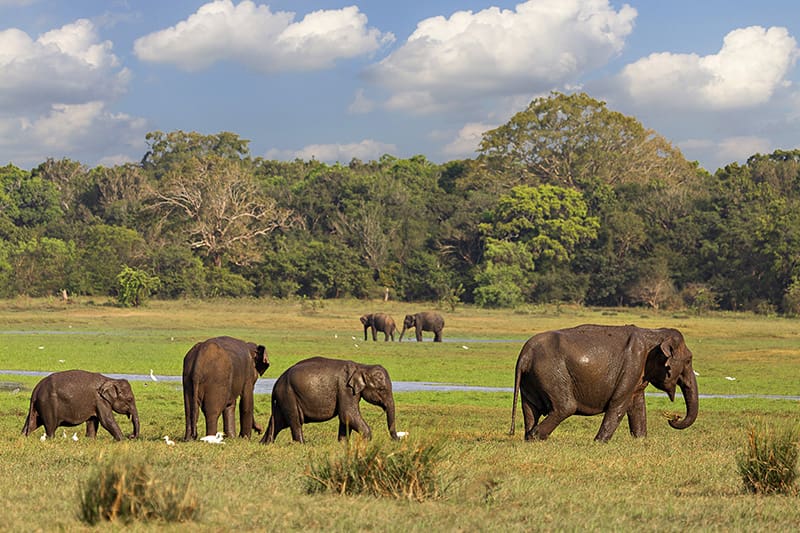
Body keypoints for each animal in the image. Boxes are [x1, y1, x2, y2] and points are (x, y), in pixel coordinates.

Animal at [260, 356, 399, 444]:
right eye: (382, 389)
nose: (397, 439)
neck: (362, 366)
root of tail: (276, 384)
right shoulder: (345, 389)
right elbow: (348, 414)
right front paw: (367, 441)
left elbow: (345, 419)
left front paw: (342, 443)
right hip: (288, 395)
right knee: (295, 421)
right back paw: (302, 444)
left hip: (283, 398)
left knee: (278, 422)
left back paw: (265, 443)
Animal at [510, 324, 698, 443]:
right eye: (689, 360)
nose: (674, 417)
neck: (654, 333)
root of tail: (524, 355)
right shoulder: (632, 365)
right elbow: (619, 403)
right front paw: (599, 442)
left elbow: (636, 404)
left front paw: (640, 439)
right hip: (551, 373)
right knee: (565, 407)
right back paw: (535, 437)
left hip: (531, 379)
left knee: (530, 409)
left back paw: (528, 437)